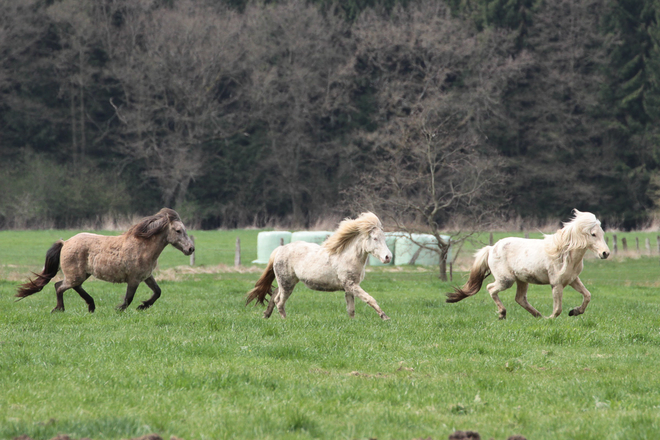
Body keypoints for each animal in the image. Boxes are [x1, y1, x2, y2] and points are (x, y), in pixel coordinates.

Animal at [16, 207, 193, 312]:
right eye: (178, 230)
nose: (191, 249)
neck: (142, 246)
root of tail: (65, 242)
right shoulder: (134, 279)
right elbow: (128, 298)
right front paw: (120, 309)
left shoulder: (147, 276)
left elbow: (157, 292)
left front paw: (143, 306)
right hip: (75, 275)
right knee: (59, 287)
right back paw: (61, 309)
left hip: (81, 275)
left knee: (68, 286)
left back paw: (91, 306)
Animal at [246, 212, 392, 320]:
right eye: (375, 238)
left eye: (384, 238)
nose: (388, 257)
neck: (347, 256)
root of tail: (279, 249)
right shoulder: (351, 285)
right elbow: (370, 299)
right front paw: (385, 317)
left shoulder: (349, 288)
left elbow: (351, 309)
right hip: (287, 284)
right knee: (279, 301)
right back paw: (285, 320)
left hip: (287, 282)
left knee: (275, 294)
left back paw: (266, 315)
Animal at [446, 210, 612, 320]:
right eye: (593, 234)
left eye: (602, 233)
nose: (605, 253)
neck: (565, 254)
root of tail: (491, 248)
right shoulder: (556, 284)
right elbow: (558, 309)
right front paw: (551, 319)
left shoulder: (572, 280)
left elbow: (587, 295)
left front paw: (575, 311)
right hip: (506, 280)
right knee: (491, 288)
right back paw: (503, 314)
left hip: (522, 280)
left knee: (520, 299)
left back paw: (537, 315)